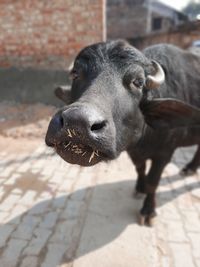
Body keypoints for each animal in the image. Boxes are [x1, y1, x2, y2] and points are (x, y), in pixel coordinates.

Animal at [45, 40, 200, 226]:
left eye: (138, 82)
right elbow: (140, 169)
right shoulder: (134, 152)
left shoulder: (164, 155)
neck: (143, 142)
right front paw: (140, 188)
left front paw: (148, 211)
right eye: (76, 74)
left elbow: (153, 183)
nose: (77, 122)